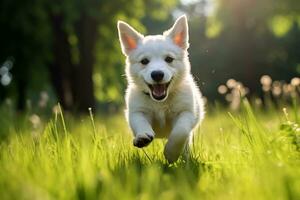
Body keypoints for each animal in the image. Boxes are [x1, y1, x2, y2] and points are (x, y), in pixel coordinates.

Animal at [116, 15, 204, 162]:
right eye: (144, 61)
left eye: (169, 59)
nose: (157, 74)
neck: (160, 102)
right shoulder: (136, 111)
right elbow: (140, 122)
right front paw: (142, 137)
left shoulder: (186, 112)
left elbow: (180, 132)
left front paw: (171, 153)